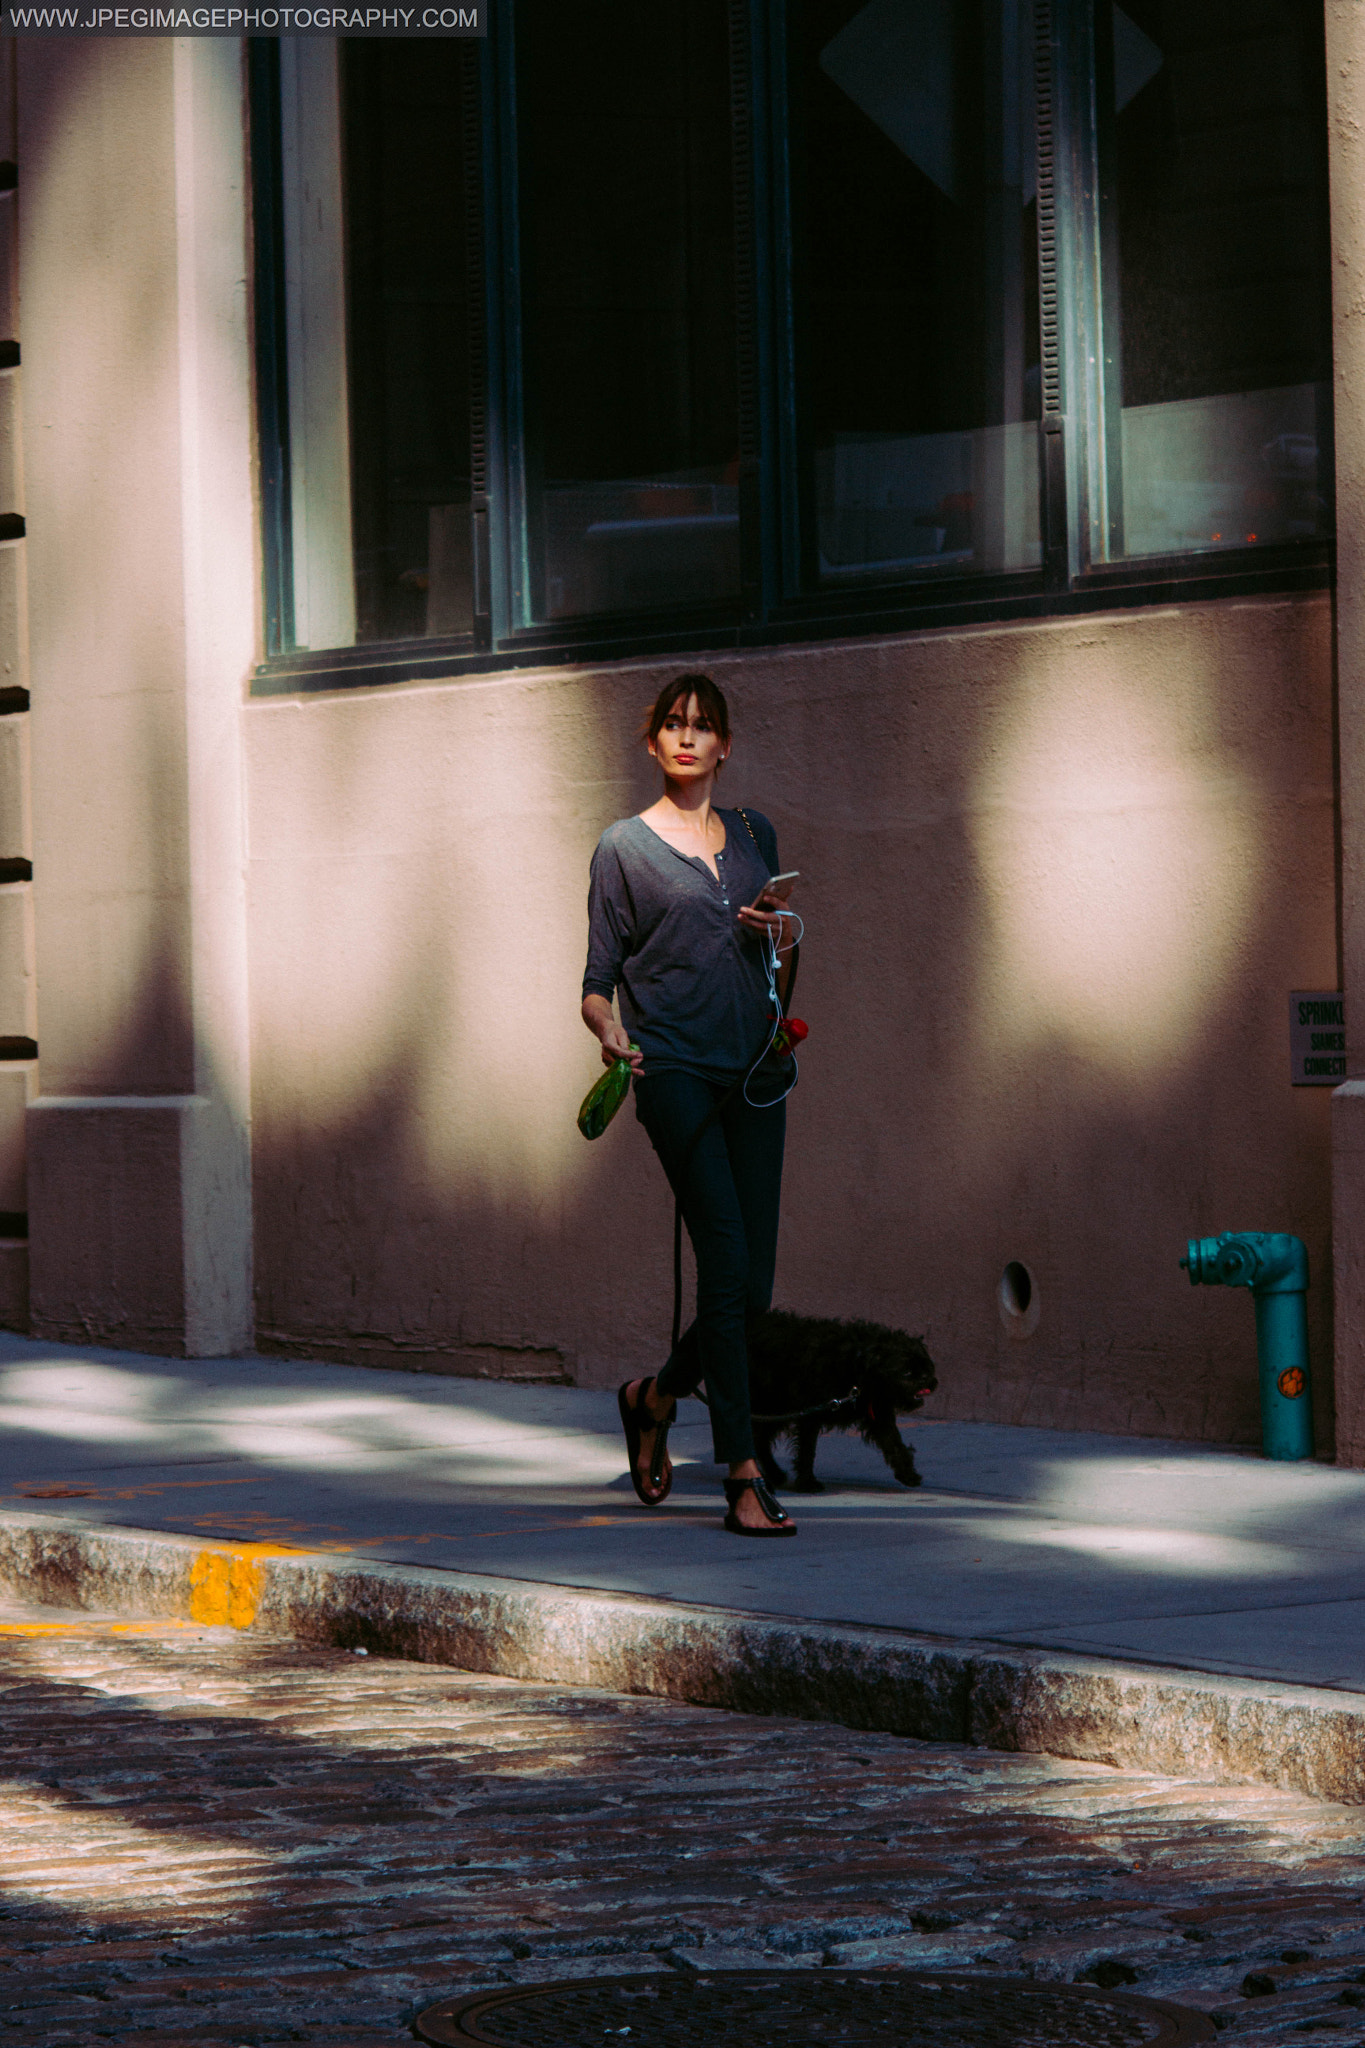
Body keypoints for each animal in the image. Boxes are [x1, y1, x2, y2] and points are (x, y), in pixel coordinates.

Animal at [749, 1310, 941, 1490]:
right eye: (906, 1372)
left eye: (926, 1366)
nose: (926, 1379)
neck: (859, 1363)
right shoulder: (810, 1414)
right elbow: (807, 1449)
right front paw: (807, 1482)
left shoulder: (879, 1412)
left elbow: (895, 1443)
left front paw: (908, 1474)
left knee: (760, 1439)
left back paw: (774, 1474)